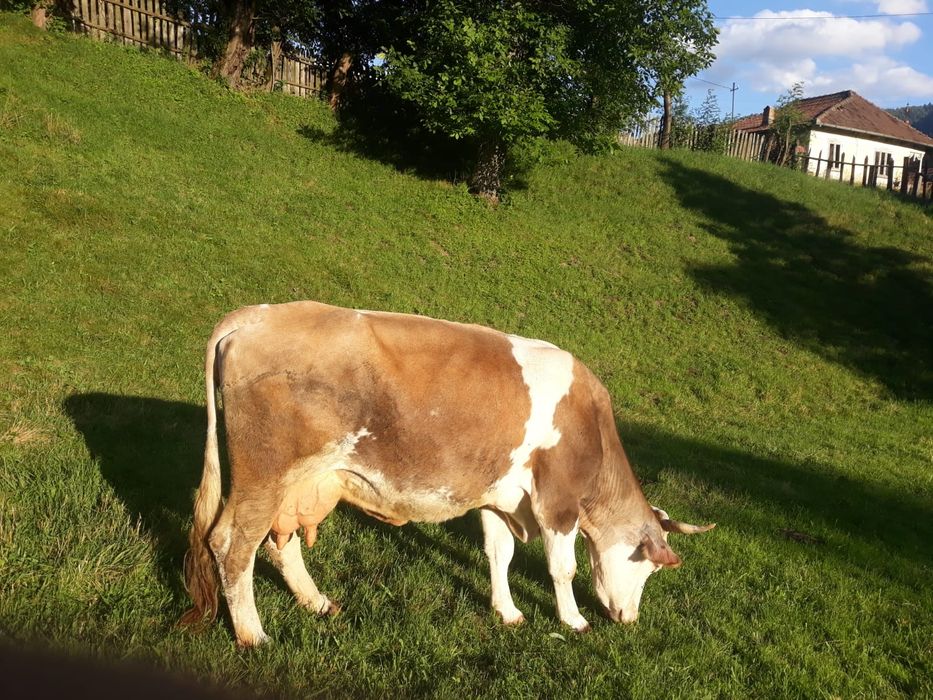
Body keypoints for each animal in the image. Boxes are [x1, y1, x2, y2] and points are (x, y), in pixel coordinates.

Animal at [180, 301, 713, 646]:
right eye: (646, 568)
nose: (630, 618)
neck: (591, 428)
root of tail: (258, 314)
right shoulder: (556, 501)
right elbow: (563, 568)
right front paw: (573, 621)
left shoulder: (500, 497)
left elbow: (499, 555)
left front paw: (507, 611)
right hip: (264, 475)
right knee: (232, 544)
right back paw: (253, 634)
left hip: (298, 484)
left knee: (278, 542)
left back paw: (317, 603)